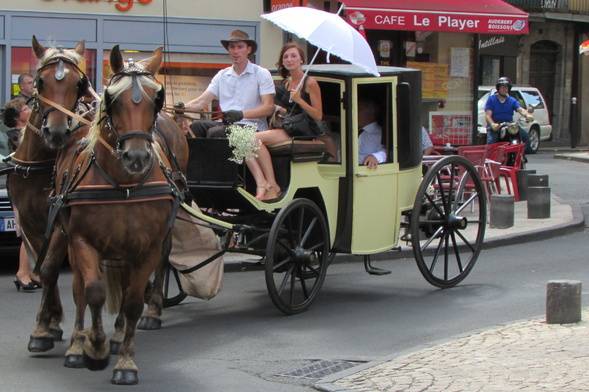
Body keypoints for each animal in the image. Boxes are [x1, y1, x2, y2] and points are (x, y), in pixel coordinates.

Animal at [7, 36, 89, 352]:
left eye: (79, 84)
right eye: (40, 82)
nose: (56, 132)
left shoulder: (60, 222)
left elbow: (52, 265)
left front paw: (44, 327)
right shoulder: (28, 220)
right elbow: (42, 268)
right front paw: (49, 322)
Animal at [52, 45, 185, 382]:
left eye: (157, 98)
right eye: (112, 98)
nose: (136, 157)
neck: (124, 184)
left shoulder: (147, 247)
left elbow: (133, 302)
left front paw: (125, 361)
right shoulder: (83, 241)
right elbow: (94, 292)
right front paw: (94, 348)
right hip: (71, 240)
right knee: (79, 291)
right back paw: (77, 346)